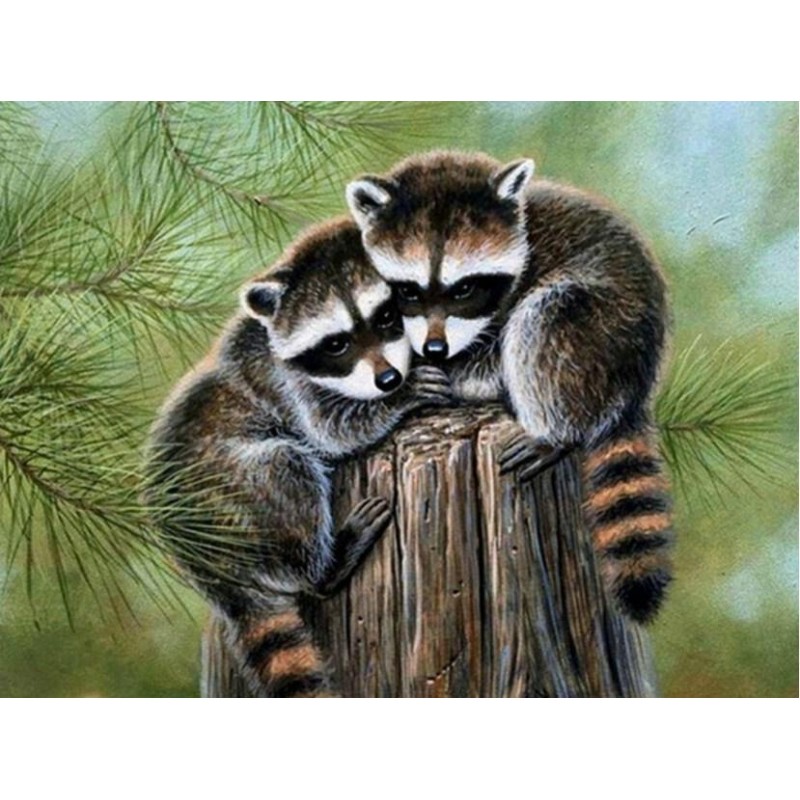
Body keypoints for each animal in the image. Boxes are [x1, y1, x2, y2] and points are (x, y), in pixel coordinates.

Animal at [145, 219, 452, 697]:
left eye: (387, 316)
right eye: (336, 343)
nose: (388, 380)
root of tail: (205, 565)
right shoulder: (283, 383)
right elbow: (332, 430)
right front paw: (399, 399)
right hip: (236, 493)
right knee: (283, 471)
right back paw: (327, 566)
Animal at [346, 151, 673, 623]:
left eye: (464, 287)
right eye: (407, 290)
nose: (435, 347)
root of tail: (636, 382)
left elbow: (493, 358)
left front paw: (444, 377)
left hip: (600, 330)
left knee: (544, 320)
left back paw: (554, 431)